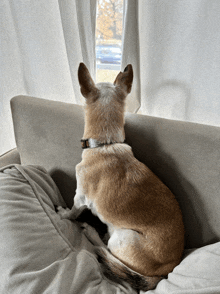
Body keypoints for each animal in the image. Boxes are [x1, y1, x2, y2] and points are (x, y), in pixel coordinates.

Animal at [57, 62, 185, 292]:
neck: (106, 143)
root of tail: (164, 273)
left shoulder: (80, 197)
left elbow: (72, 212)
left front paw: (63, 214)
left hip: (122, 237)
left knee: (105, 248)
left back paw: (91, 232)